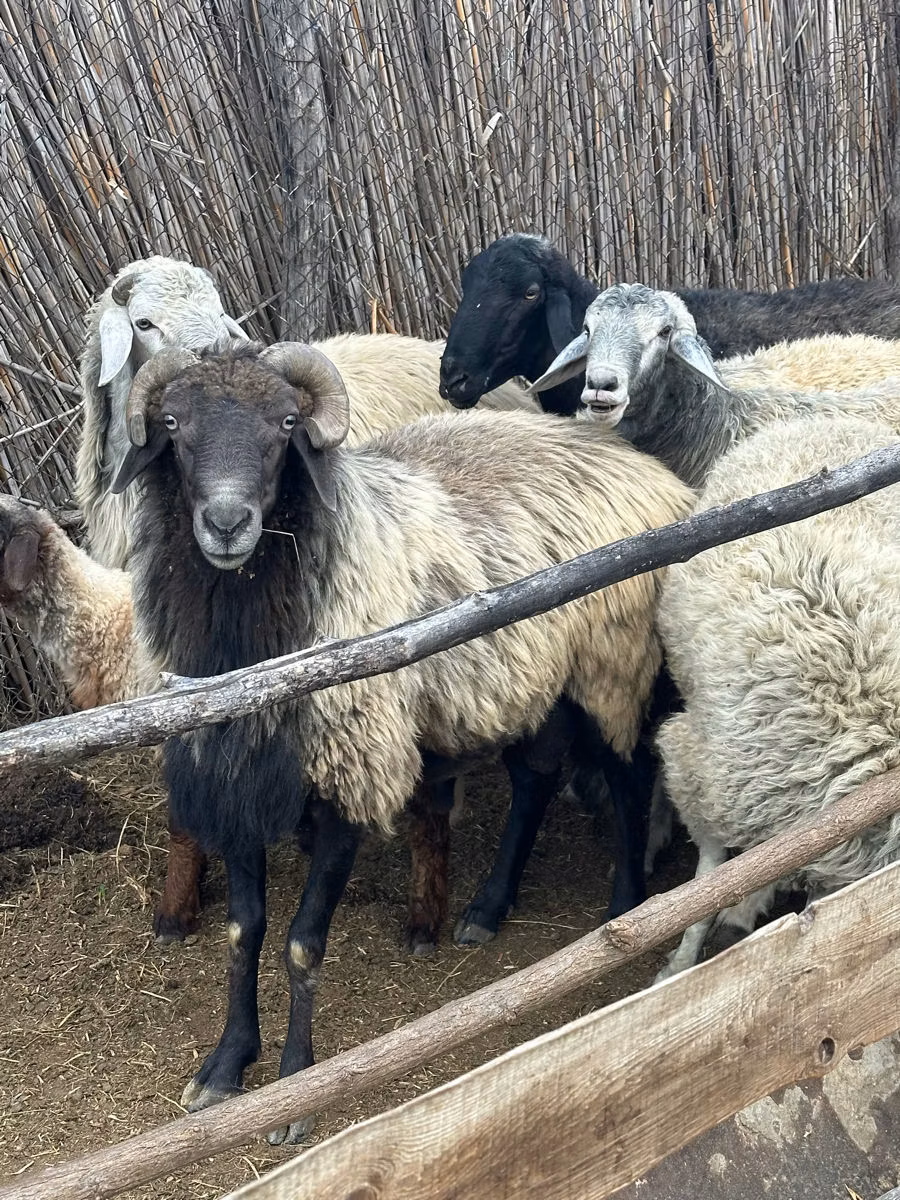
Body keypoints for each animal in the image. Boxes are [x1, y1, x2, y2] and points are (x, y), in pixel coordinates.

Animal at [110, 342, 694, 1138]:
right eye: (172, 423)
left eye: (286, 423)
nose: (227, 522)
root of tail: (649, 468)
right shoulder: (239, 786)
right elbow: (243, 933)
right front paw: (227, 1066)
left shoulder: (351, 779)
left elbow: (301, 944)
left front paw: (294, 1088)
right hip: (536, 680)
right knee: (536, 777)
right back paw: (487, 909)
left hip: (610, 665)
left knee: (629, 778)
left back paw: (625, 905)